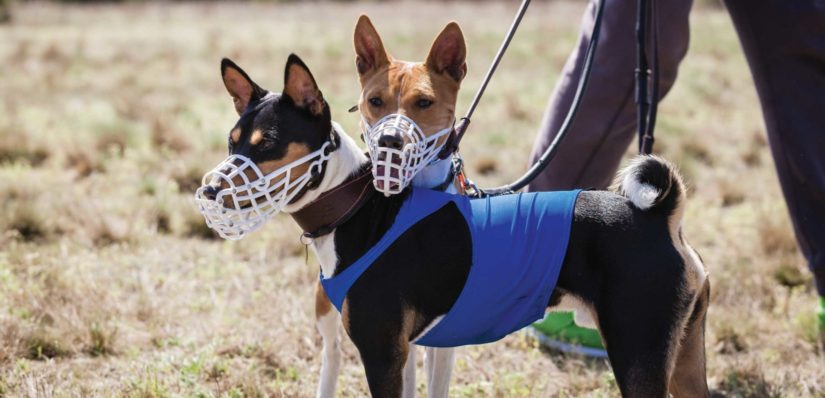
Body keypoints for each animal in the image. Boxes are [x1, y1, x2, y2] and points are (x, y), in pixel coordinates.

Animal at [198, 54, 708, 396]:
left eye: (268, 144)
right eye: (232, 142)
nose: (208, 192)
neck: (358, 209)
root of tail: (661, 216)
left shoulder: (381, 352)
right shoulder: (405, 351)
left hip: (637, 353)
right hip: (683, 357)